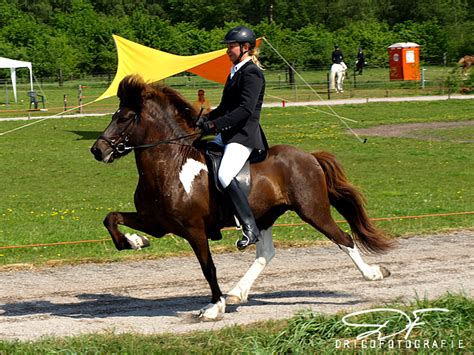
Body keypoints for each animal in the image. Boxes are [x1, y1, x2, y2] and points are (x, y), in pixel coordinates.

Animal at [90, 74, 394, 320]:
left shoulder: (193, 228)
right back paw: (238, 292)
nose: (97, 150)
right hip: (264, 216)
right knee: (266, 253)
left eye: (124, 117)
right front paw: (135, 241)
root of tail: (309, 156)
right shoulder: (156, 223)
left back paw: (374, 273)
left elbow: (208, 267)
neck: (171, 164)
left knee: (343, 238)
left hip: (313, 211)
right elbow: (111, 219)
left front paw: (214, 308)